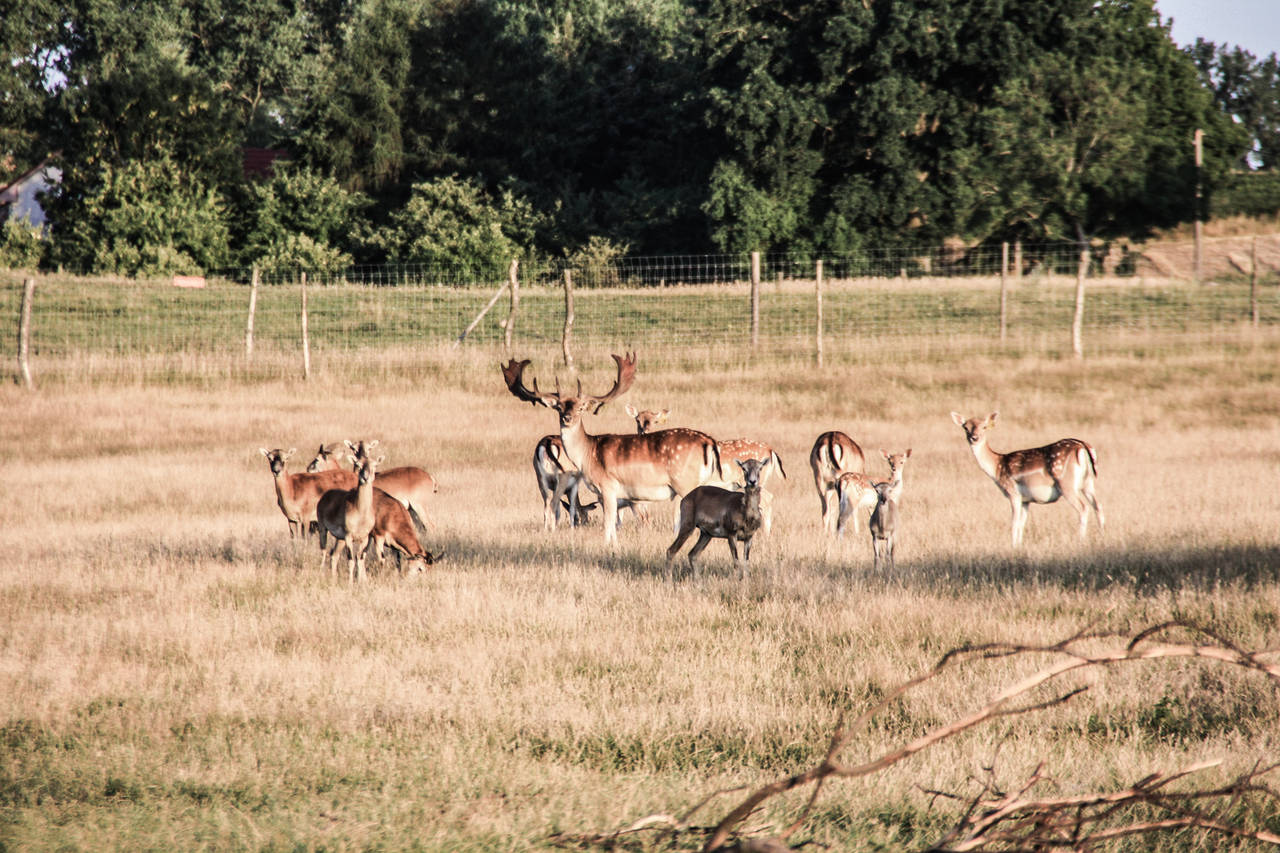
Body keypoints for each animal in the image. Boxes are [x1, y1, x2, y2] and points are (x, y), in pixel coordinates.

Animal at [947, 409, 1105, 545]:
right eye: (965, 427)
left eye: (984, 427)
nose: (974, 438)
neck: (997, 468)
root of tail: (1082, 447)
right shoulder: (1026, 500)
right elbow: (1022, 524)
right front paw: (1019, 546)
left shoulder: (1013, 492)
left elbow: (1014, 524)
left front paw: (1013, 547)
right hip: (1088, 482)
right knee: (1098, 506)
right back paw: (1101, 539)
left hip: (1067, 484)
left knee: (1083, 508)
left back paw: (1081, 540)